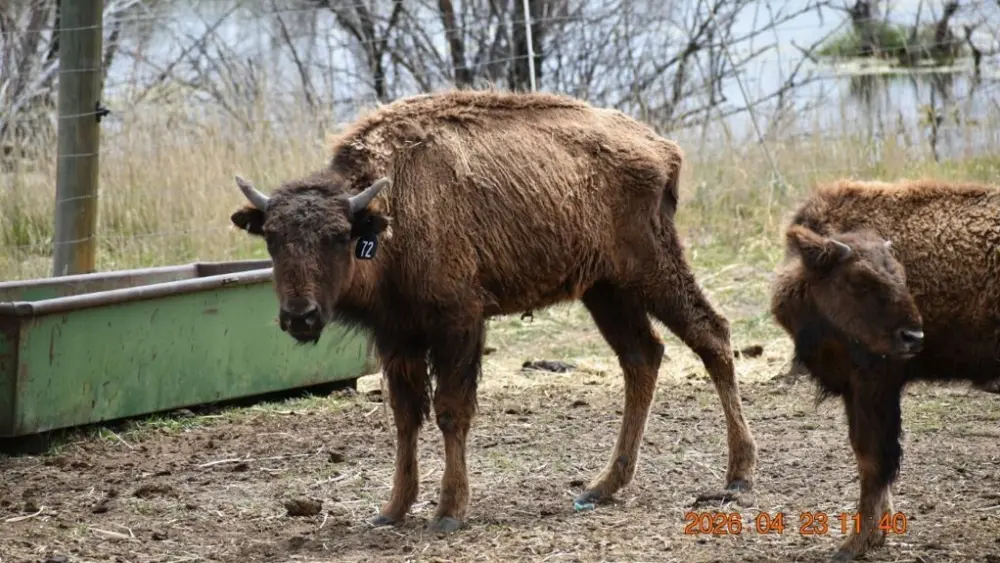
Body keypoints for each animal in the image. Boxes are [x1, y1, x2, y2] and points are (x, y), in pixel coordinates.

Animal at [230, 89, 758, 532]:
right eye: (272, 238)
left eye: (339, 236)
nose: (300, 317)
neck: (391, 210)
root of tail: (662, 148)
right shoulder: (398, 337)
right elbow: (405, 416)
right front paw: (392, 511)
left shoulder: (459, 324)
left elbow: (451, 411)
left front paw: (448, 513)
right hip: (607, 290)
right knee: (642, 357)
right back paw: (602, 487)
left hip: (652, 271)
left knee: (711, 335)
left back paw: (738, 476)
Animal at [770, 178, 1000, 560]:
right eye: (860, 280)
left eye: (902, 277)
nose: (913, 336)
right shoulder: (855, 389)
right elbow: (865, 454)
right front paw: (878, 532)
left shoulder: (875, 384)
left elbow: (874, 459)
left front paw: (853, 544)